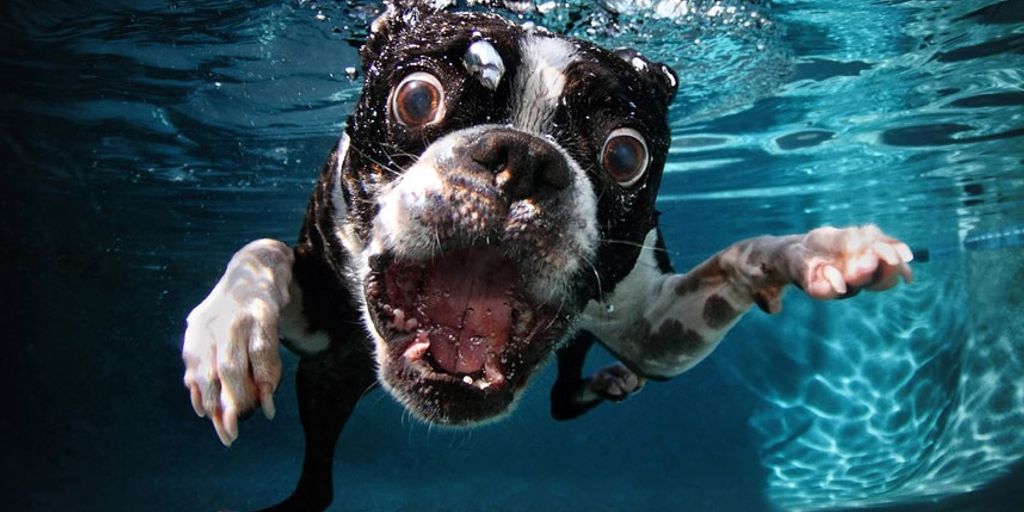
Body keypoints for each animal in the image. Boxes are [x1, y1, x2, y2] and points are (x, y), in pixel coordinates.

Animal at [180, 2, 917, 509]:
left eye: (625, 154)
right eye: (417, 99)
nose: (524, 159)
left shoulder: (661, 335)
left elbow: (740, 256)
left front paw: (821, 249)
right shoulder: (318, 325)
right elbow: (260, 249)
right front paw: (226, 333)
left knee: (565, 396)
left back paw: (605, 383)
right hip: (326, 378)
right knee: (320, 476)